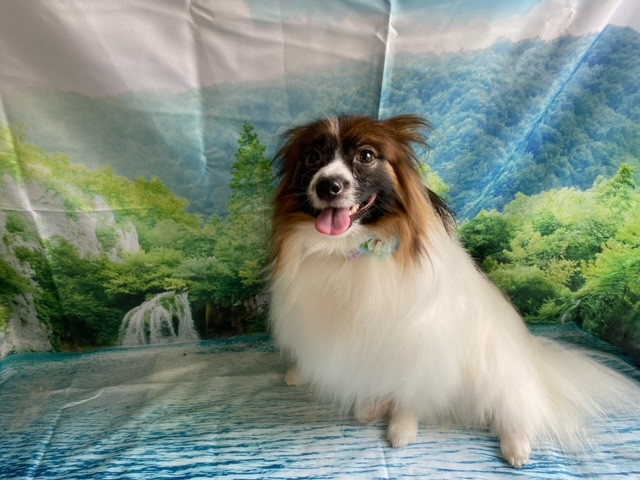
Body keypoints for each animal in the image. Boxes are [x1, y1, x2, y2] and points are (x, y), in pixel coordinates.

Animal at [268, 114, 639, 468]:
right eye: (313, 157)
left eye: (366, 156)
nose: (328, 185)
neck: (349, 251)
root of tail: (534, 362)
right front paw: (373, 404)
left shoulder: (420, 341)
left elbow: (412, 392)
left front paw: (402, 427)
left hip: (497, 372)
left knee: (516, 407)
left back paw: (516, 446)